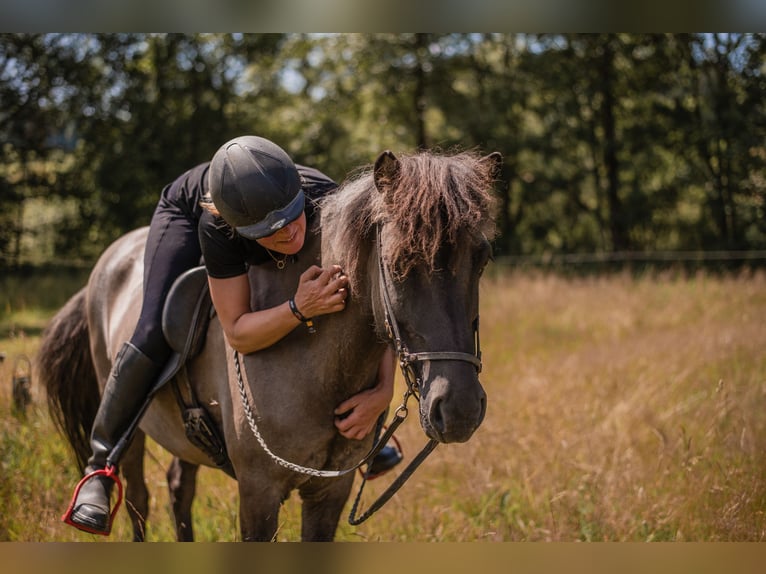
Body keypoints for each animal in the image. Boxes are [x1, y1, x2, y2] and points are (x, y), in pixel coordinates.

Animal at [40, 148, 501, 541]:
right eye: (398, 262)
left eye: (481, 259)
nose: (458, 410)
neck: (317, 369)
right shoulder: (258, 492)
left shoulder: (329, 493)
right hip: (131, 427)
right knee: (137, 495)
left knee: (179, 489)